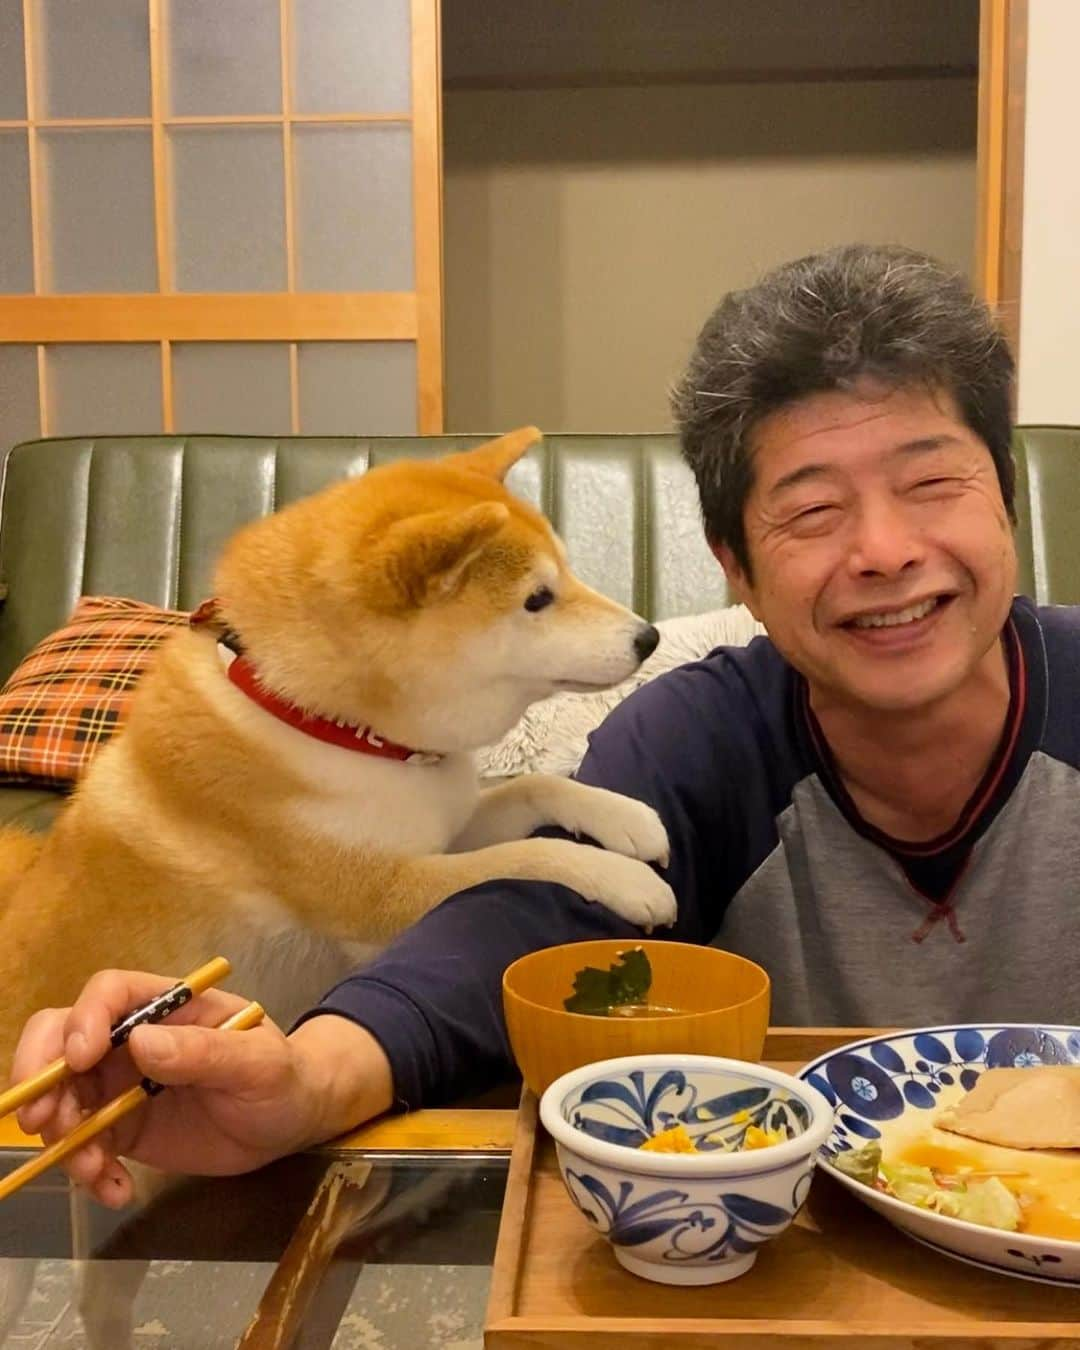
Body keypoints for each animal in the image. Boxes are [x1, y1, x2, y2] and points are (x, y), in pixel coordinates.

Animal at [0, 426, 675, 1069]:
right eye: (538, 598)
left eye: (567, 571)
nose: (649, 637)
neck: (338, 730)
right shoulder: (379, 895)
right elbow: (525, 857)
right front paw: (623, 876)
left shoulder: (443, 825)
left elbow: (539, 784)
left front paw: (628, 818)